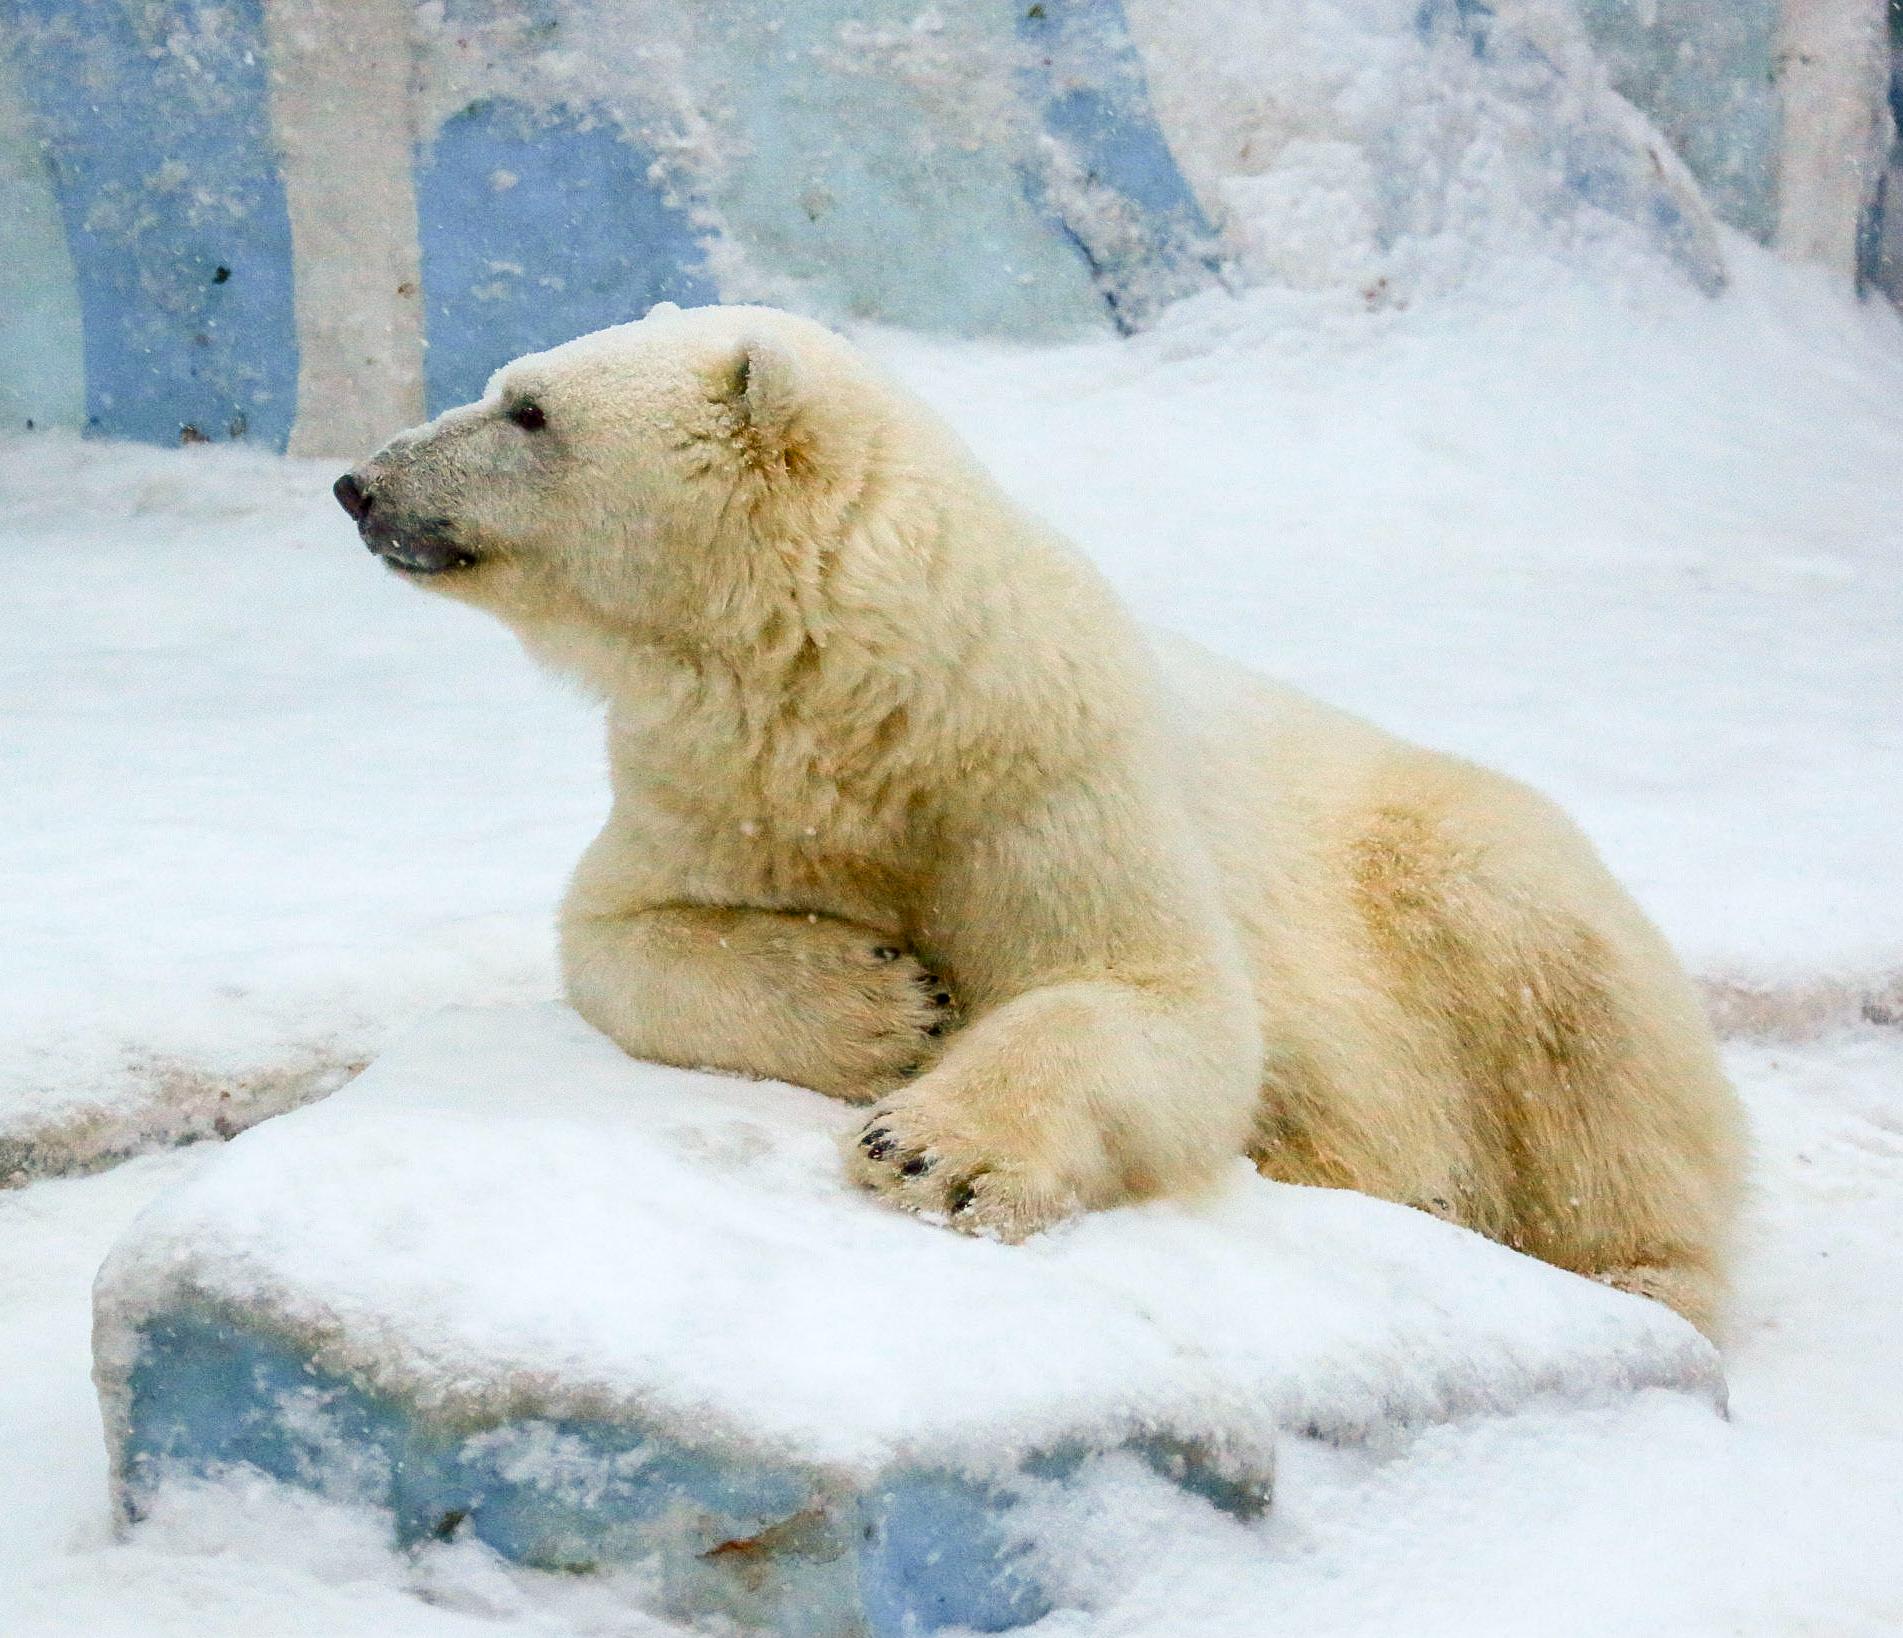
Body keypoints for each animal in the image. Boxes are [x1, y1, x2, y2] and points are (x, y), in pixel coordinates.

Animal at [338, 304, 1743, 1331]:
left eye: (529, 408)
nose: (359, 483)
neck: (869, 698)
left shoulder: (1048, 767)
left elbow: (1156, 998)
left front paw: (931, 1150)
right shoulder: (714, 785)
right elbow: (614, 933)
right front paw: (886, 1001)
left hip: (1461, 878)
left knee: (1584, 1043)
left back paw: (1640, 1280)